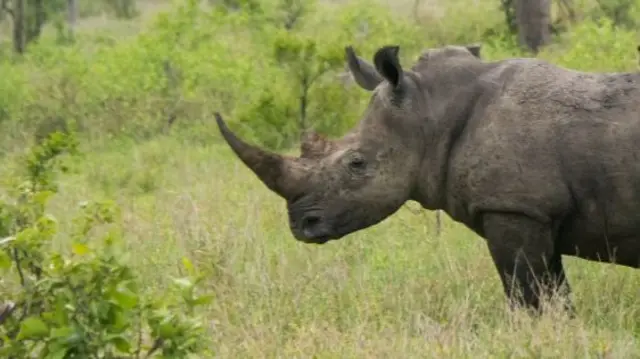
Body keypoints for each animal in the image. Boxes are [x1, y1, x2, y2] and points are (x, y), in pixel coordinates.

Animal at [214, 42, 640, 314]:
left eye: (357, 164)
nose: (301, 225)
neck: (431, 112)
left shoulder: (515, 207)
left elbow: (528, 295)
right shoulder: (537, 212)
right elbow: (554, 293)